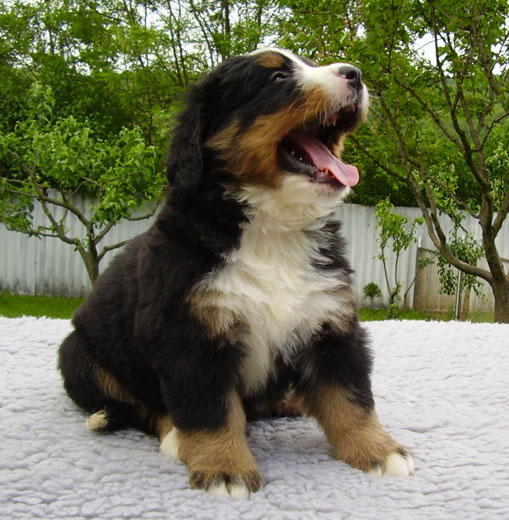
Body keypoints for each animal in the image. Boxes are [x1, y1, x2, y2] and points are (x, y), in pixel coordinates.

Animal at [58, 48, 414, 497]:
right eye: (277, 77)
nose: (355, 74)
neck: (273, 230)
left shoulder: (331, 324)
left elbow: (351, 397)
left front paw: (379, 451)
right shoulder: (190, 334)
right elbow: (212, 411)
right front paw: (224, 469)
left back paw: (291, 399)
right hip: (77, 353)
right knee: (135, 405)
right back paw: (172, 434)